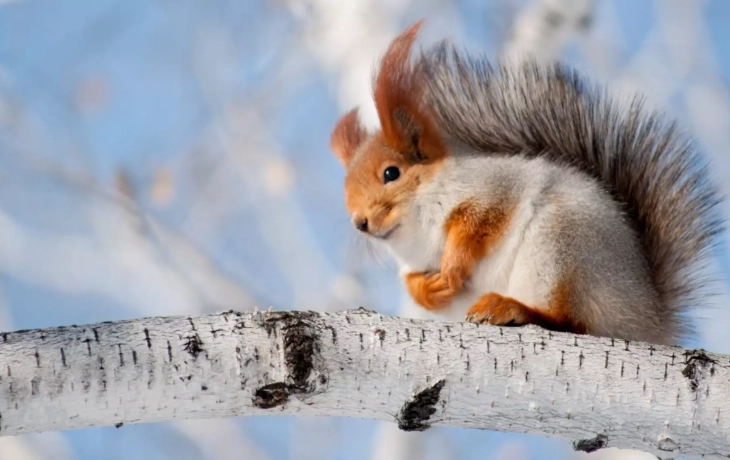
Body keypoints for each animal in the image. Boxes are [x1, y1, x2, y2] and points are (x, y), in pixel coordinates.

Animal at [330, 22, 724, 344]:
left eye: (390, 173)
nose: (359, 223)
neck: (417, 227)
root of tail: (648, 321)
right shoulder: (412, 262)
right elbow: (413, 282)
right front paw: (430, 289)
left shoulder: (495, 188)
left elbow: (479, 221)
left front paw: (453, 265)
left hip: (563, 249)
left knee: (570, 321)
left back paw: (512, 309)